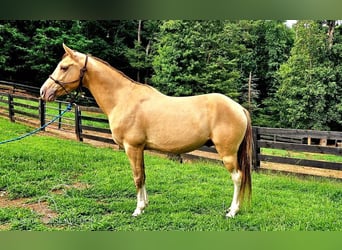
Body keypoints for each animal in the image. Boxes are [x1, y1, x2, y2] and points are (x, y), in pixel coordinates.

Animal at [40, 44, 254, 218]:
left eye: (64, 67)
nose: (43, 92)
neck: (123, 98)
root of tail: (239, 108)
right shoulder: (140, 149)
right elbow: (143, 175)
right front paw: (145, 205)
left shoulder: (132, 147)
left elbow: (137, 176)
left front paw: (138, 209)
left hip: (227, 153)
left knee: (237, 177)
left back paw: (232, 211)